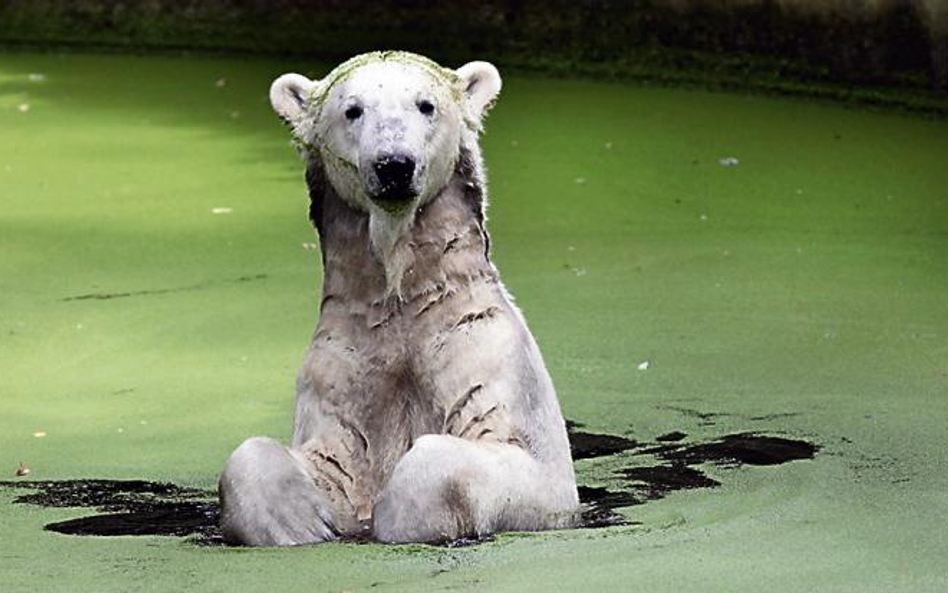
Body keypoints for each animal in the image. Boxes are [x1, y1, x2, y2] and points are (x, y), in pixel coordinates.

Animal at [220, 52, 576, 544]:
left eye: (426, 105)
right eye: (352, 109)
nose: (394, 165)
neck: (402, 295)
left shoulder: (490, 354)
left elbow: (499, 459)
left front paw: (397, 512)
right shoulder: (344, 364)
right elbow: (302, 460)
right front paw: (305, 521)